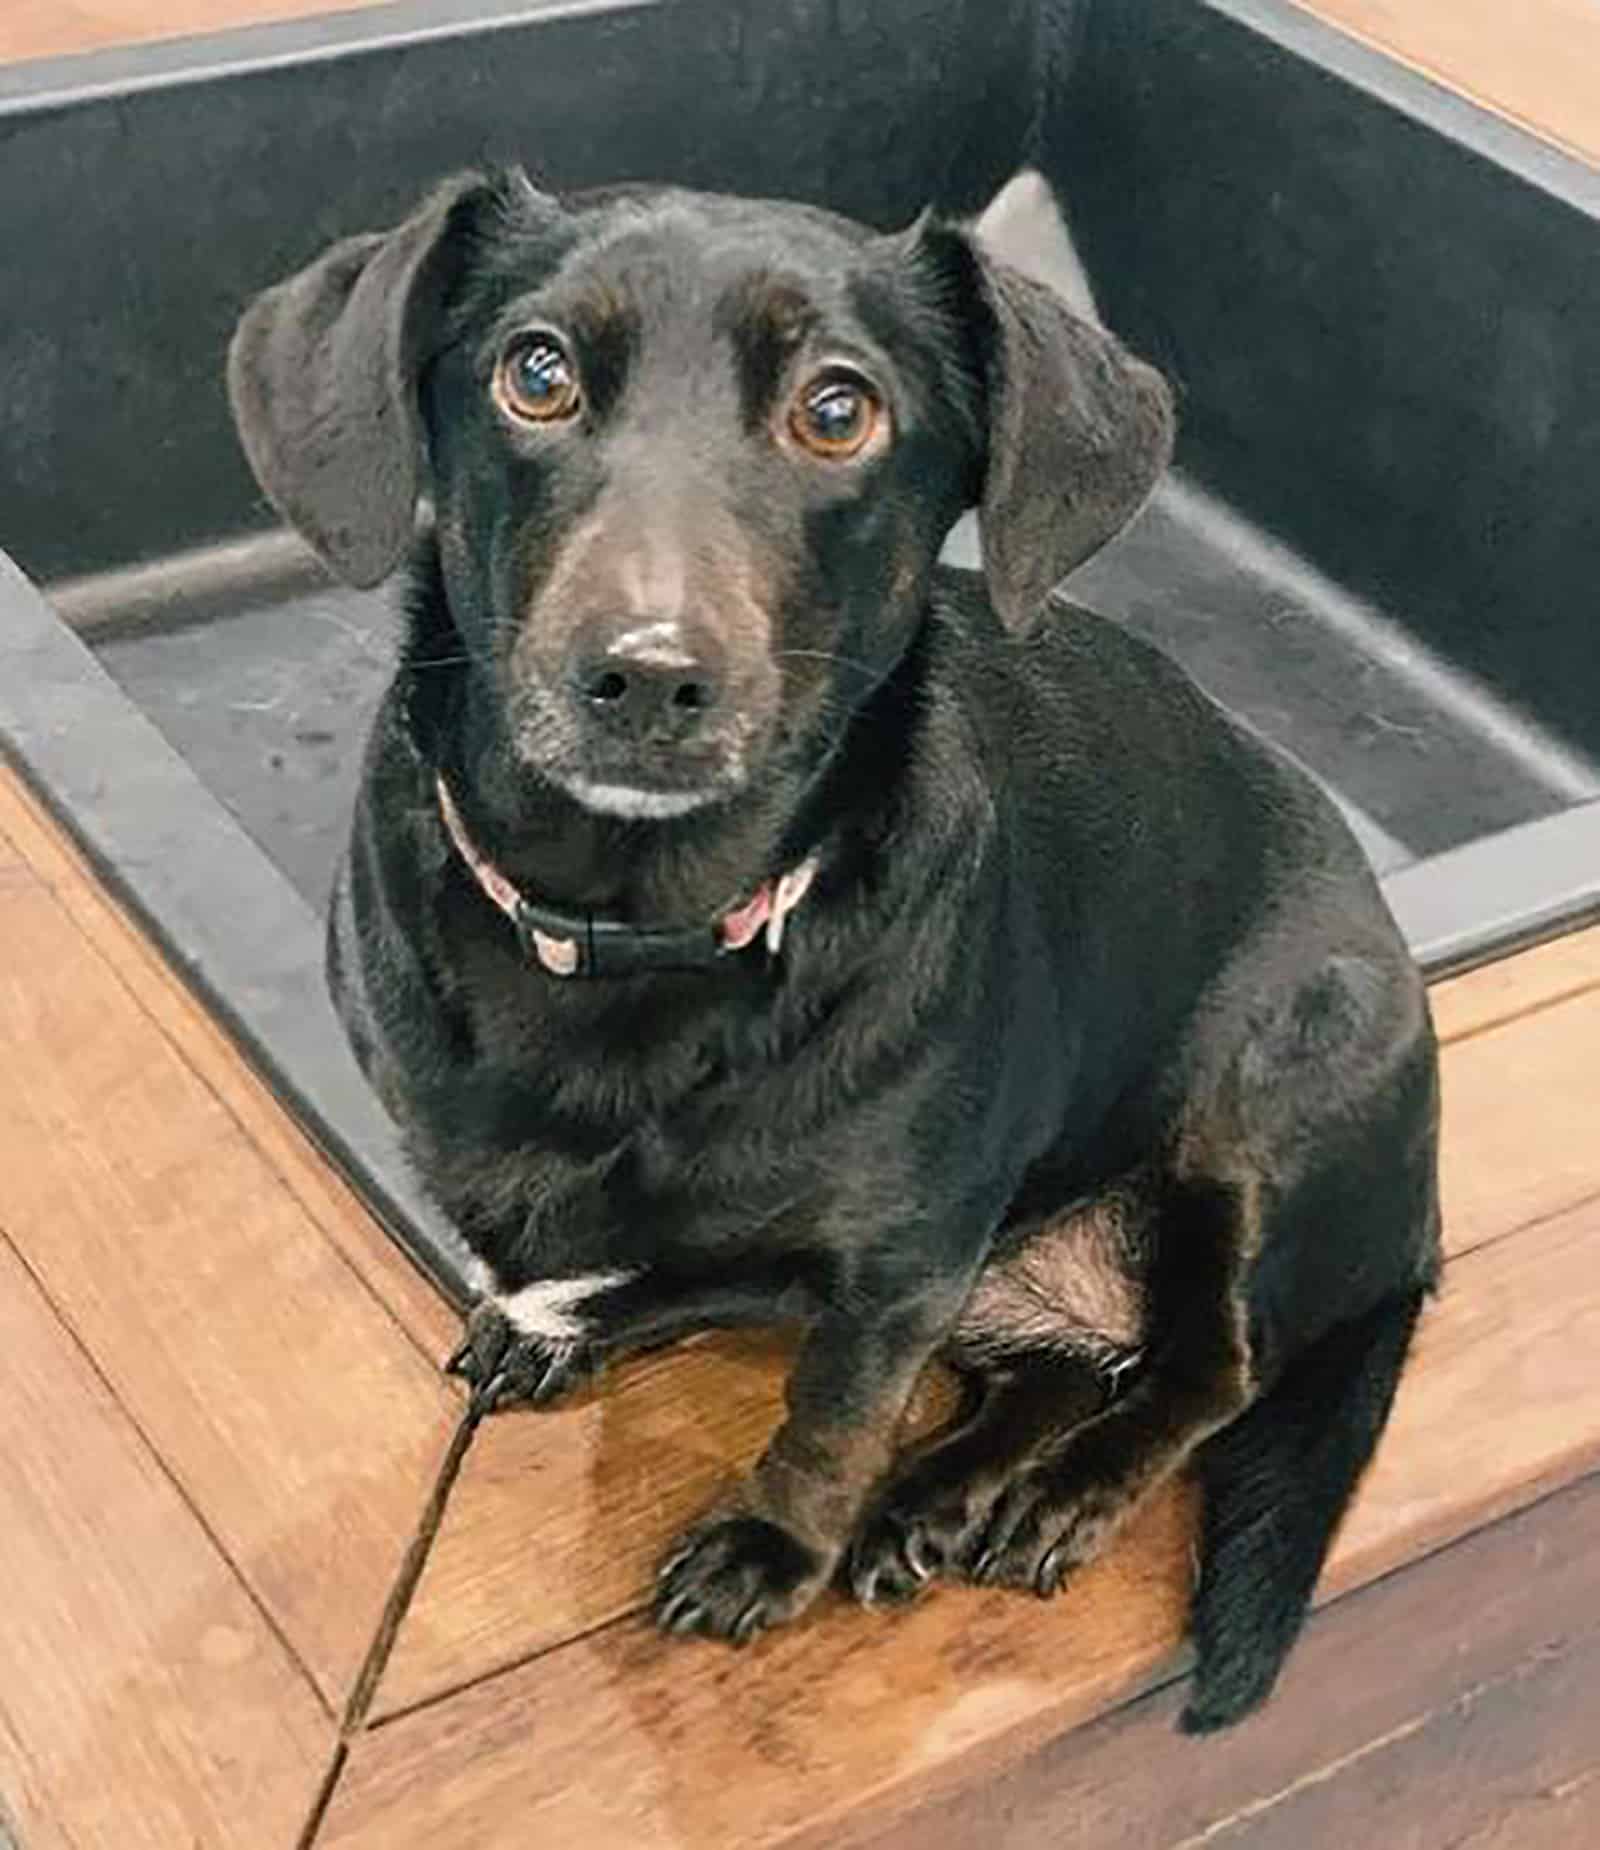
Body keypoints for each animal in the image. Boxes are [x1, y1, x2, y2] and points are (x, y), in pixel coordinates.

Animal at [231, 166, 1442, 1724]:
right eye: (535, 373)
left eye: (837, 408)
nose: (647, 675)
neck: (634, 927)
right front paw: (553, 1326)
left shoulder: (902, 1259)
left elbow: (833, 1410)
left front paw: (771, 1547)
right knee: (1059, 1372)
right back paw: (938, 1494)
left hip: (1275, 1096)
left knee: (1204, 1372)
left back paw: (1054, 1496)